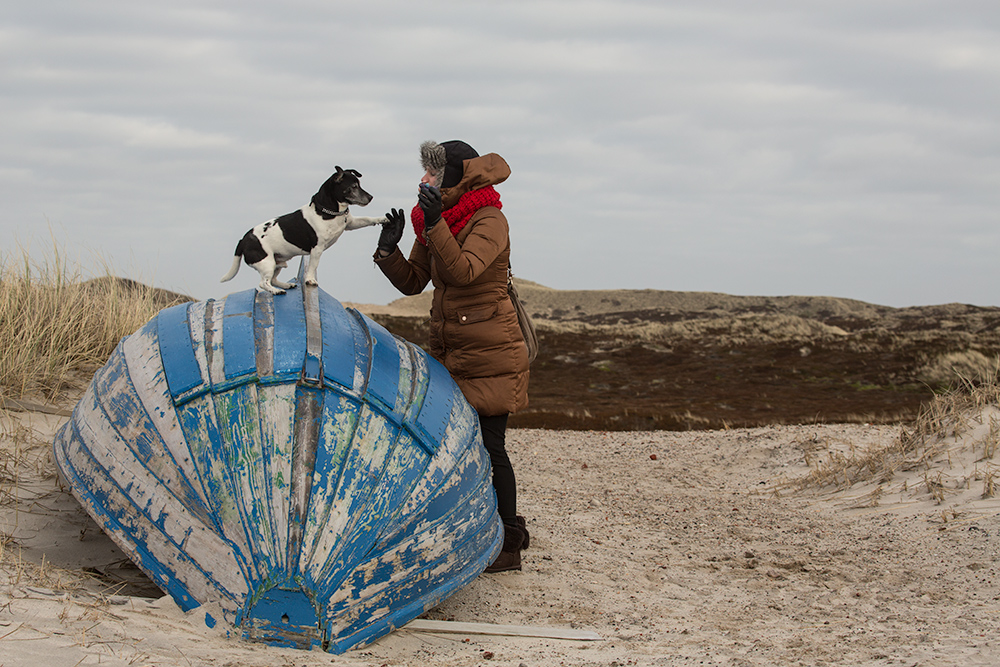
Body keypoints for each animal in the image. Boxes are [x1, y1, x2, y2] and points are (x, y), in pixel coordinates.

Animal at [220, 166, 386, 294]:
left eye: (359, 184)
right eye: (353, 187)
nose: (370, 197)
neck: (329, 211)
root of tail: (243, 239)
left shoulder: (350, 223)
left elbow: (367, 219)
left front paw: (383, 219)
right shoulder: (317, 249)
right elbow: (313, 265)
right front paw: (310, 280)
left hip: (277, 263)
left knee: (273, 279)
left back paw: (286, 285)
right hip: (266, 263)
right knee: (264, 283)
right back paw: (276, 291)